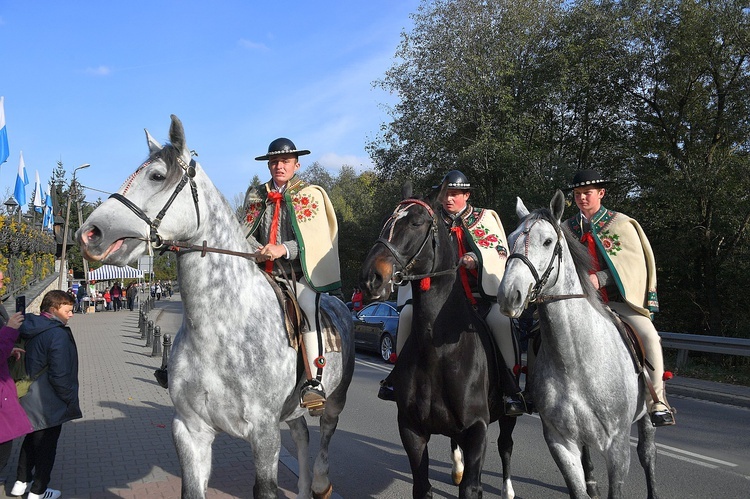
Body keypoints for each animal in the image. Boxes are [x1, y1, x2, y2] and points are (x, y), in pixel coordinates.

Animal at [78, 115, 356, 498]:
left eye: (157, 176)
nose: (90, 232)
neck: (221, 331)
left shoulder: (264, 436)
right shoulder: (190, 430)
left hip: (334, 401)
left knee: (325, 437)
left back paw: (319, 483)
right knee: (301, 435)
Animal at [362, 185, 520, 499]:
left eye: (416, 222)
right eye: (387, 221)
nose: (372, 277)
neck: (440, 352)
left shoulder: (477, 430)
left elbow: (472, 486)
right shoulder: (411, 429)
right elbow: (422, 487)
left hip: (509, 414)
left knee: (506, 445)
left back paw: (507, 489)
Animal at [502, 189, 660, 498]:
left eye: (547, 241)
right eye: (511, 238)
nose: (509, 295)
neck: (575, 362)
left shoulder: (617, 446)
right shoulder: (559, 441)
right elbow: (578, 489)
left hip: (646, 414)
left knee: (648, 452)